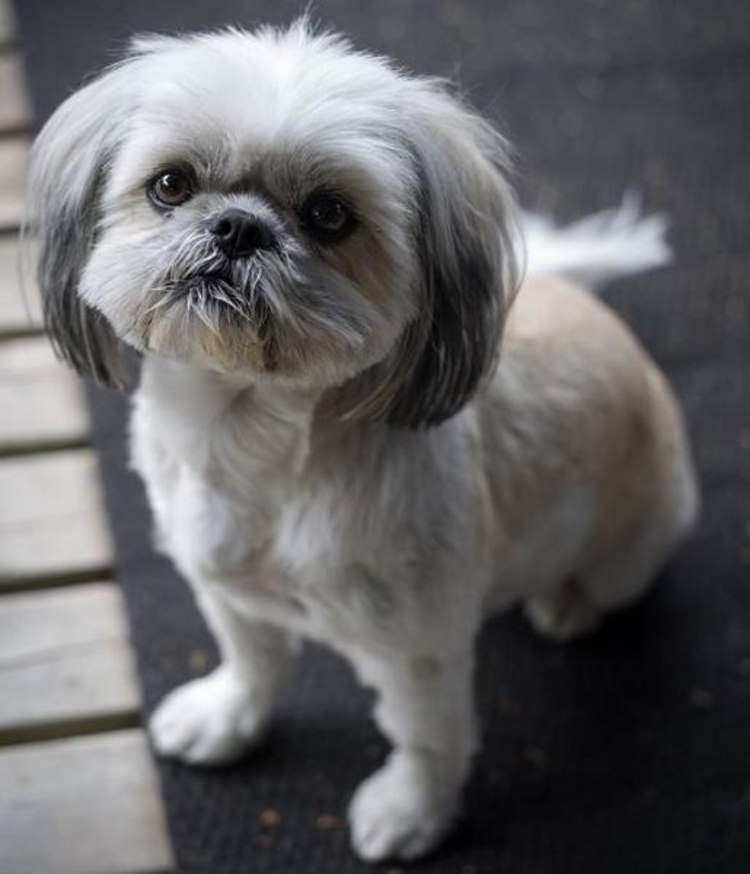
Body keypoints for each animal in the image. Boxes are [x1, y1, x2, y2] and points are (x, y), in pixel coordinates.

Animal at [27, 18, 700, 860]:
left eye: (329, 215)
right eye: (171, 185)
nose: (237, 226)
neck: (246, 443)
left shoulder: (418, 651)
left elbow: (427, 738)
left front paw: (412, 812)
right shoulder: (222, 589)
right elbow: (252, 659)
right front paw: (228, 716)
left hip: (630, 544)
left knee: (601, 582)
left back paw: (565, 604)